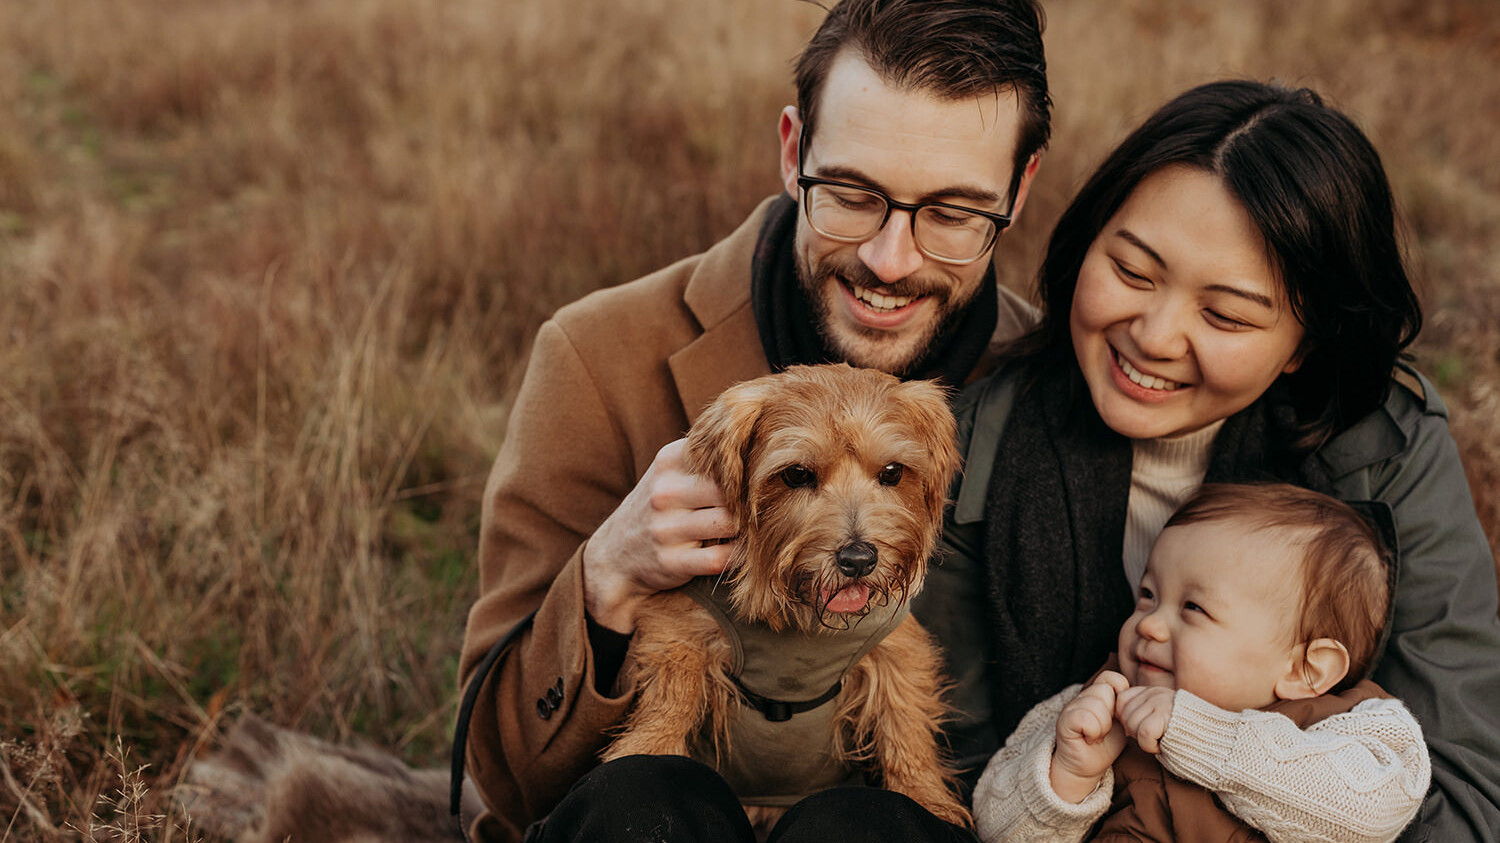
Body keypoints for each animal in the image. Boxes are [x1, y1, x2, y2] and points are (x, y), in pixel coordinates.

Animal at [600, 361, 966, 828]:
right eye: (796, 474)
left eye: (892, 472)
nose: (859, 559)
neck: (796, 620)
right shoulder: (678, 632)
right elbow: (669, 703)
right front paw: (647, 749)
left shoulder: (895, 649)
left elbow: (905, 723)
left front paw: (925, 797)